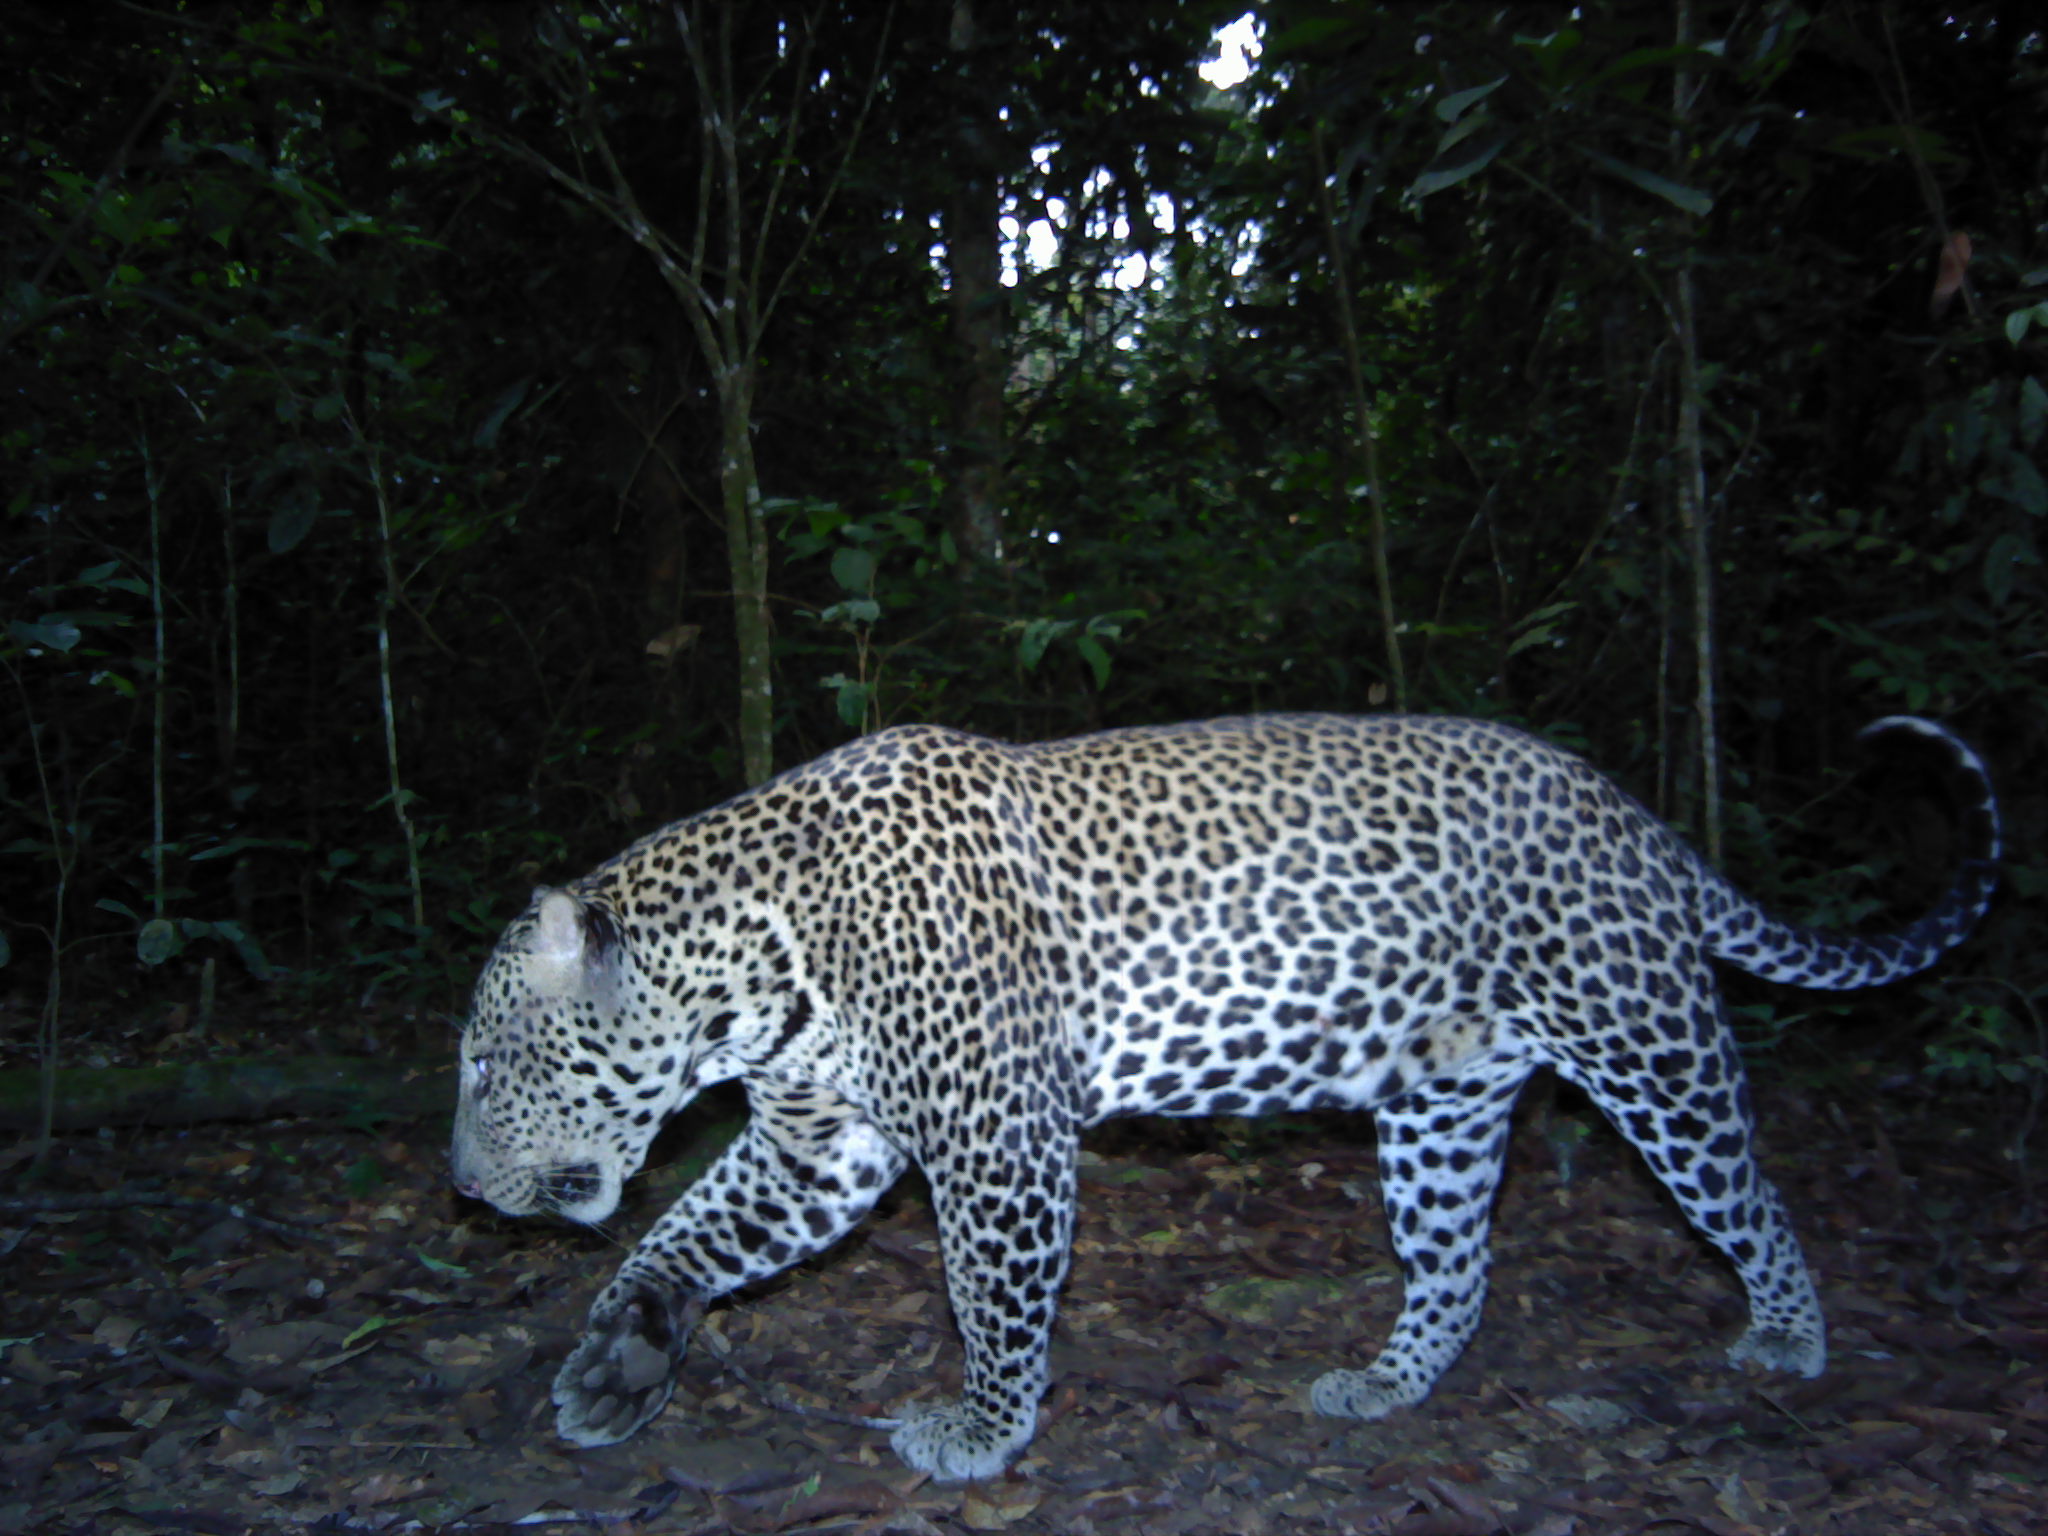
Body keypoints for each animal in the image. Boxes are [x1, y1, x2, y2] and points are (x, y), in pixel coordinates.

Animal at [450, 712, 1998, 1482]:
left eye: (476, 1062)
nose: (460, 1187)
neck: (756, 967)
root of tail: (1635, 815)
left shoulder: (997, 1138)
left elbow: (989, 1293)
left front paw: (985, 1432)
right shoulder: (823, 1142)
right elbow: (683, 1240)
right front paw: (620, 1364)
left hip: (1645, 1040)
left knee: (1744, 1189)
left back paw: (1789, 1338)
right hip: (1443, 1100)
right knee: (1457, 1265)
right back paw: (1384, 1385)